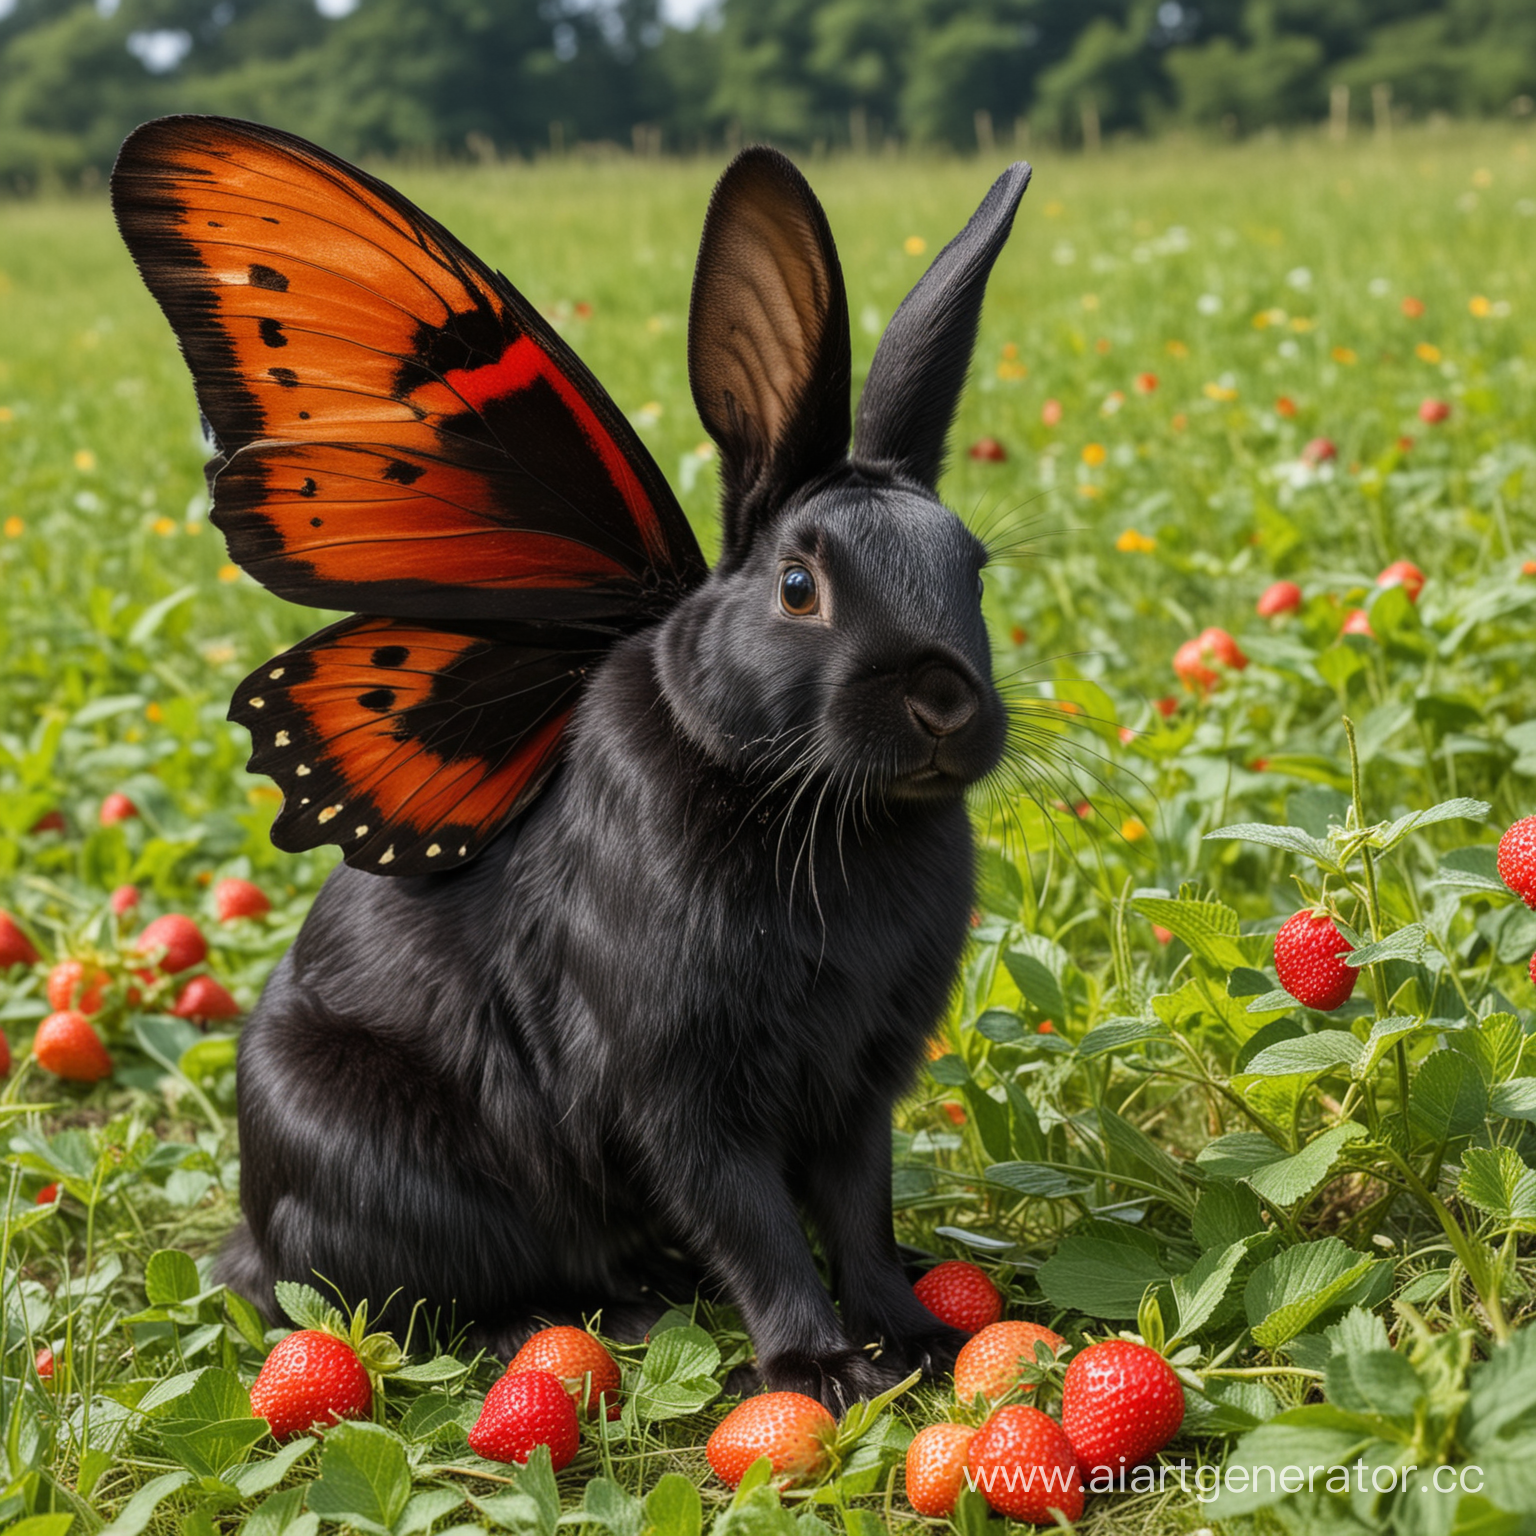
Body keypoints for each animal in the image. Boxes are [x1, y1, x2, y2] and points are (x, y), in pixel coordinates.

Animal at [116, 119, 1032, 1406]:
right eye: (799, 587)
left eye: (974, 571)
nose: (947, 703)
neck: (816, 810)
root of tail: (255, 1222)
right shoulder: (677, 1090)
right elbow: (754, 1224)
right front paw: (818, 1371)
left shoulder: (858, 1086)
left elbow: (857, 1212)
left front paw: (911, 1341)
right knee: (408, 1307)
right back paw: (594, 1319)